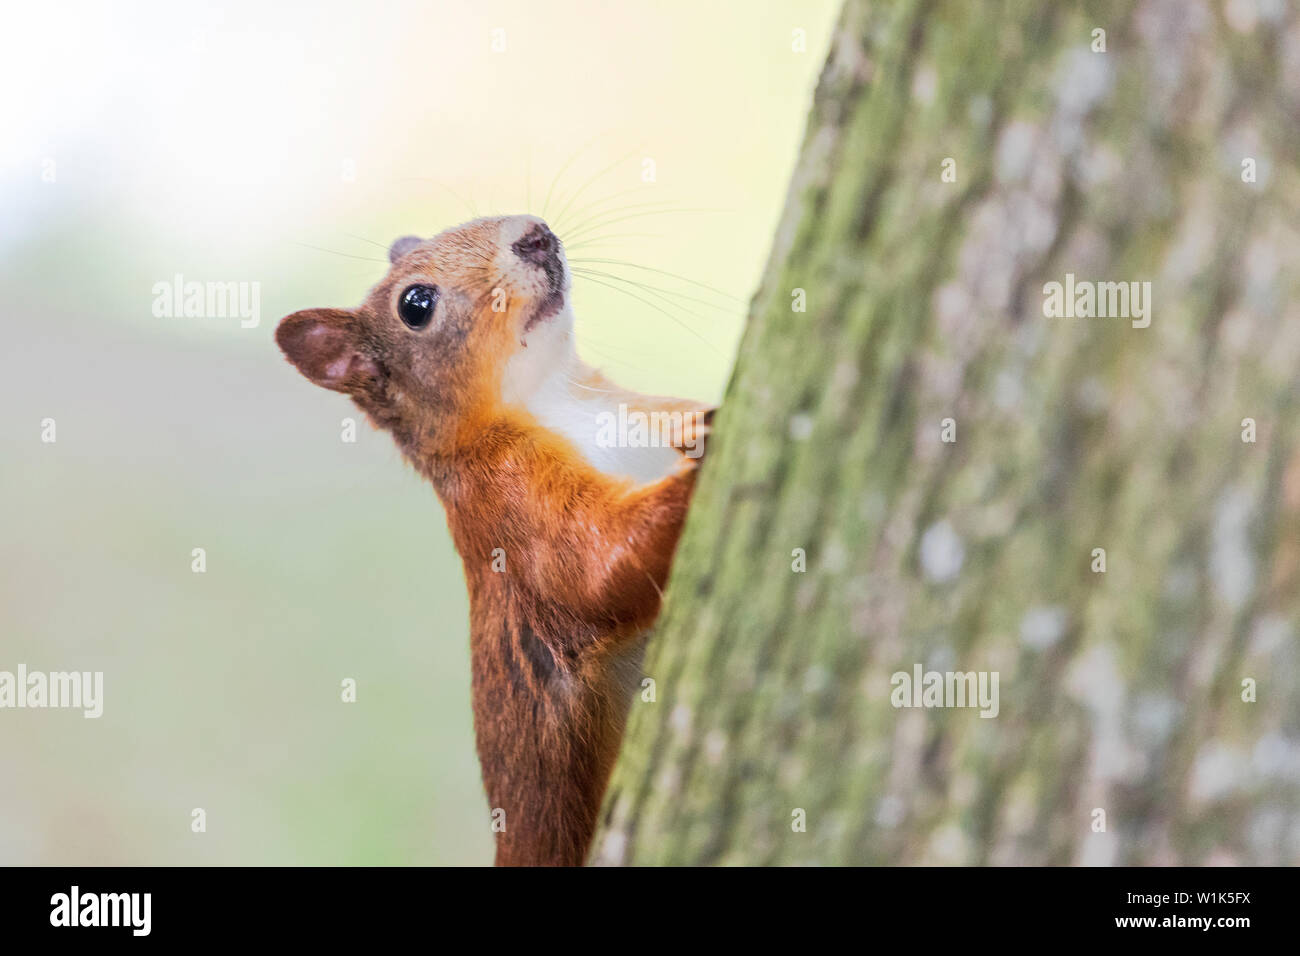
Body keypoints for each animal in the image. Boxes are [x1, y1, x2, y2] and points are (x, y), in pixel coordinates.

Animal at [273, 218, 712, 868]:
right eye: (416, 304)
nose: (535, 234)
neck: (554, 394)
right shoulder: (507, 505)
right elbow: (595, 566)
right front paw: (695, 477)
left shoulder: (640, 407)